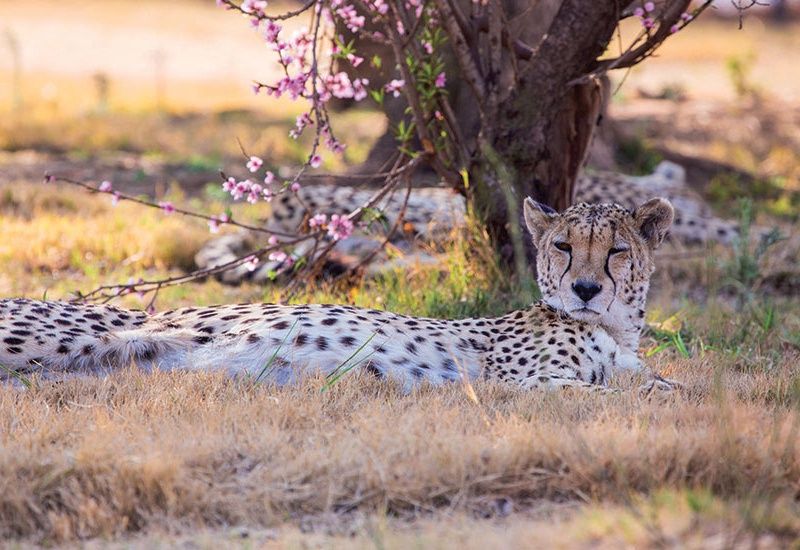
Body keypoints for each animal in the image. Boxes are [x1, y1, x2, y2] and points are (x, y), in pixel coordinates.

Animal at [1, 197, 676, 392]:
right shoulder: (530, 385)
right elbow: (616, 397)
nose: (585, 288)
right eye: (563, 245)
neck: (613, 327)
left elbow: (664, 386)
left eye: (616, 251)